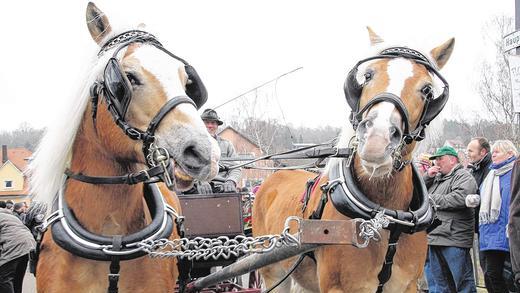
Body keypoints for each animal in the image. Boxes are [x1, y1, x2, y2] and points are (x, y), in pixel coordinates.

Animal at [254, 28, 452, 292]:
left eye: (427, 90)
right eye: (367, 75)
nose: (377, 139)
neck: (384, 219)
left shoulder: (406, 285)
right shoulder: (339, 287)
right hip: (273, 272)